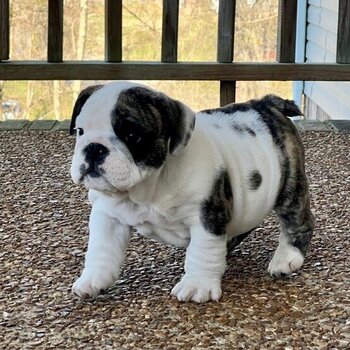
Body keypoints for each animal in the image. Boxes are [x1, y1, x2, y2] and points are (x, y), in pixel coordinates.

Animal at [69, 82, 314, 304]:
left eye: (131, 134)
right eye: (80, 131)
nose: (94, 148)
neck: (145, 190)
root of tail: (267, 104)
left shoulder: (206, 216)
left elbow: (202, 251)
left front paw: (197, 285)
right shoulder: (107, 215)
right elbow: (102, 249)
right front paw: (93, 280)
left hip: (289, 185)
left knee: (298, 220)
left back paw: (286, 257)